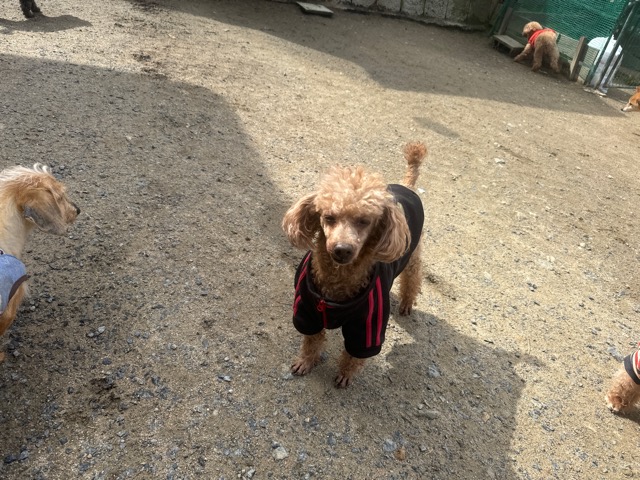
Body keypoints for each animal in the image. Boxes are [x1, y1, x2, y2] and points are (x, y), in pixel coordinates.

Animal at [282, 142, 426, 387]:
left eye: (364, 221)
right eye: (329, 217)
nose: (342, 249)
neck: (336, 283)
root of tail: (407, 187)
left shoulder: (368, 326)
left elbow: (354, 355)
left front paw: (345, 375)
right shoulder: (306, 310)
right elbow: (311, 341)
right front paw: (305, 361)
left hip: (412, 254)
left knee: (413, 277)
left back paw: (407, 303)